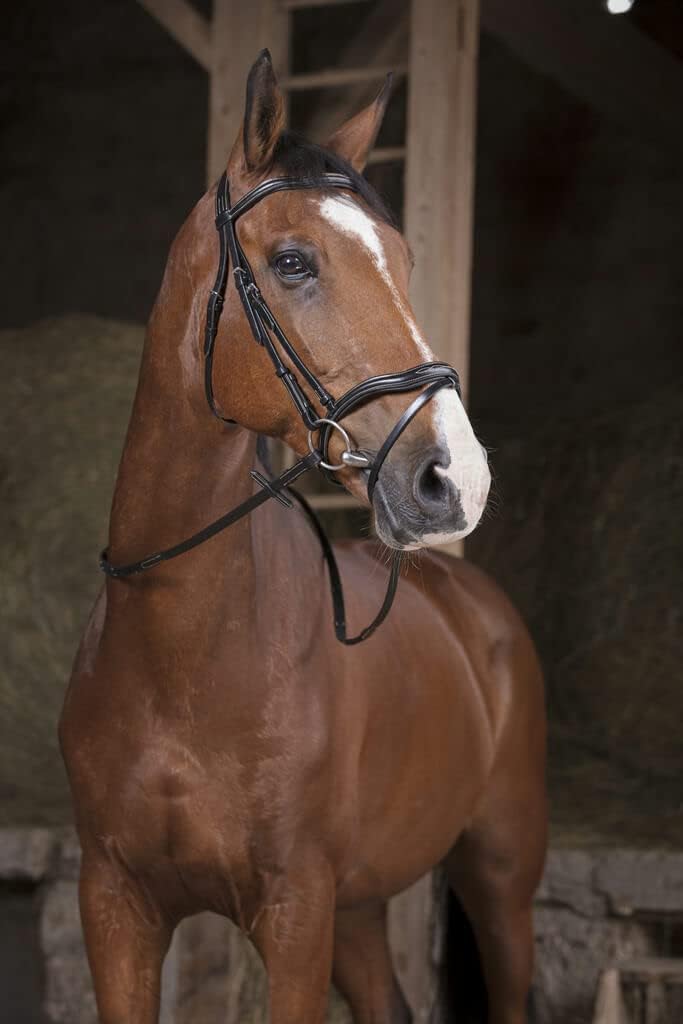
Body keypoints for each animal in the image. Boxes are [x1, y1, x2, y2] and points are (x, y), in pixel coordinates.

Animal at [60, 50, 547, 1024]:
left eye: (402, 260)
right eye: (291, 262)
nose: (456, 479)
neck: (180, 650)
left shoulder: (293, 911)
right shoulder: (116, 904)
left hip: (499, 876)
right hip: (358, 910)